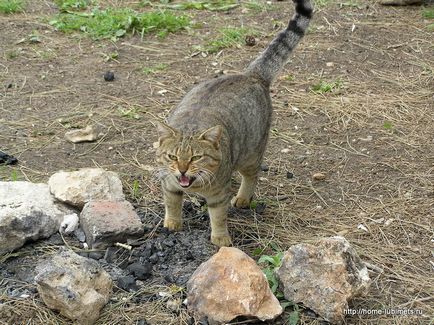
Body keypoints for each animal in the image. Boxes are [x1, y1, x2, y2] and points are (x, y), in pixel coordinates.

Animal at [155, 0, 312, 246]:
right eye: (172, 156)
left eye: (196, 157)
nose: (182, 170)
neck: (195, 184)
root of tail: (251, 75)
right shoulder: (169, 183)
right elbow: (172, 203)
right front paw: (172, 222)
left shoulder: (219, 195)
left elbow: (218, 217)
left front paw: (221, 238)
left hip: (251, 153)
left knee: (252, 175)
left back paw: (243, 198)